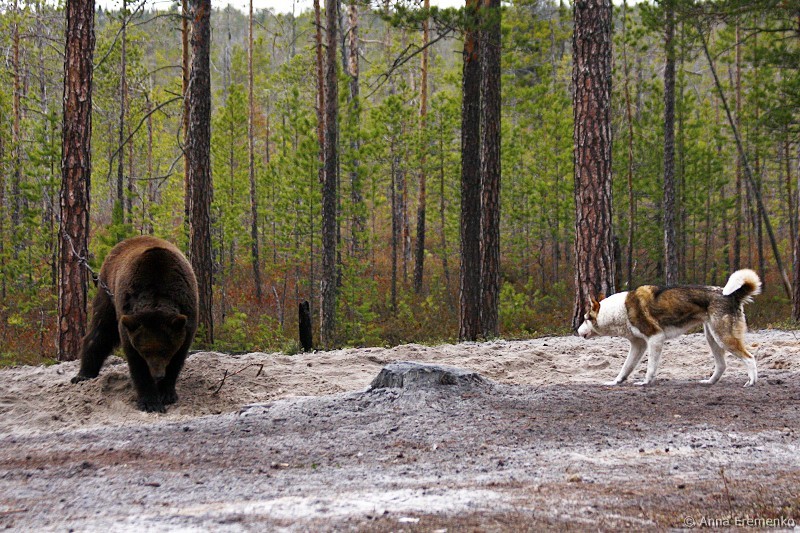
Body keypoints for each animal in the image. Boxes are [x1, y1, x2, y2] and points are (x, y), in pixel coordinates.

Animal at [71, 236, 199, 413]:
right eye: (145, 351)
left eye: (165, 350)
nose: (157, 375)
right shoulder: (128, 317)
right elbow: (136, 362)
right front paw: (150, 401)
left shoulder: (187, 315)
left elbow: (178, 358)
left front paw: (167, 393)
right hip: (107, 292)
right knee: (101, 330)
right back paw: (83, 374)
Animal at [577, 269, 761, 387]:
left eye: (585, 319)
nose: (577, 331)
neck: (619, 309)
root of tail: (731, 295)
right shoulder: (638, 345)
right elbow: (625, 368)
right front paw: (616, 382)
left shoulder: (655, 339)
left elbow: (650, 367)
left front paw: (645, 382)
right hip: (712, 339)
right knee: (722, 365)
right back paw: (710, 382)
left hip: (724, 338)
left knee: (749, 358)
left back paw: (752, 382)